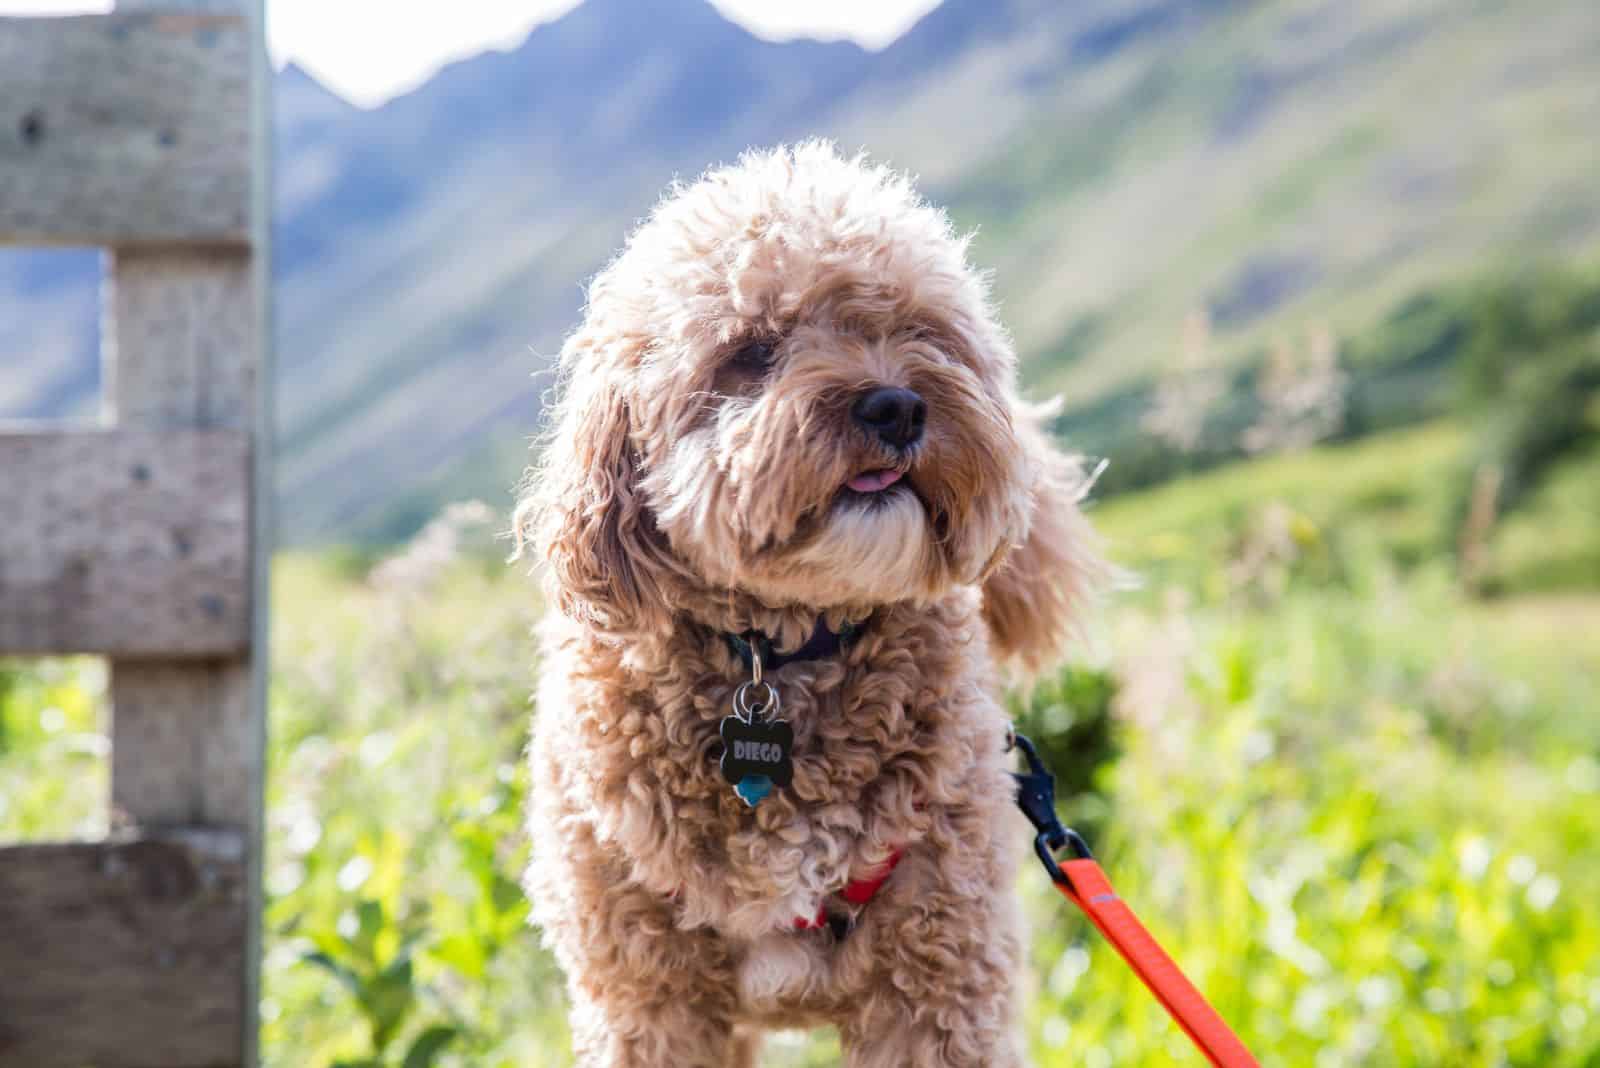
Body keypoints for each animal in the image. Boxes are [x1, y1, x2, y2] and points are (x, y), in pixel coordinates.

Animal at [518, 143, 1107, 1068]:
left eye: (917, 331)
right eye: (753, 351)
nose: (896, 405)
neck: (776, 656)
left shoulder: (941, 981)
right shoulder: (647, 998)